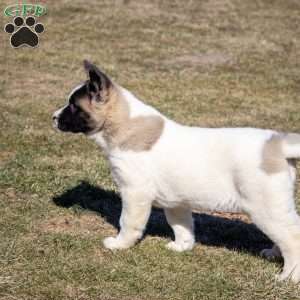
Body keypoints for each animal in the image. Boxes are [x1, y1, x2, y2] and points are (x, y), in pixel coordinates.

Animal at [52, 60, 300, 282]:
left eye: (73, 105)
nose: (53, 118)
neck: (125, 125)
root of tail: (278, 144)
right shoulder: (175, 200)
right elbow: (181, 225)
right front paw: (182, 246)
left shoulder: (134, 193)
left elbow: (128, 222)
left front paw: (119, 244)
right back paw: (274, 253)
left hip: (265, 207)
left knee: (292, 238)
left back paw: (288, 276)